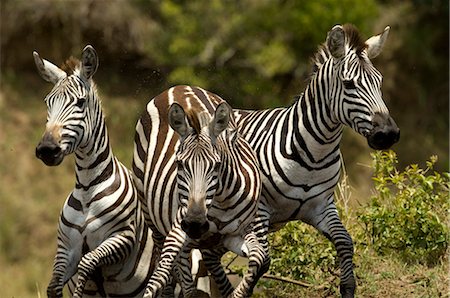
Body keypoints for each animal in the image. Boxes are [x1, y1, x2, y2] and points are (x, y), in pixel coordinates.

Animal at [33, 44, 155, 298]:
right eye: (48, 102)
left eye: (80, 103)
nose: (47, 150)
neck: (88, 185)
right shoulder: (67, 247)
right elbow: (53, 285)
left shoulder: (123, 237)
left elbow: (86, 263)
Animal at [132, 85, 268, 296]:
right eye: (179, 164)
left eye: (217, 165)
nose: (194, 224)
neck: (221, 200)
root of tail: (180, 86)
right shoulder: (178, 229)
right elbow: (161, 275)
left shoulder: (237, 232)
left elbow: (259, 258)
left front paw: (237, 293)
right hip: (151, 214)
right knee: (172, 271)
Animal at [232, 24, 400, 296]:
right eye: (349, 84)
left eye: (379, 82)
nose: (388, 134)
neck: (315, 153)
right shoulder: (258, 211)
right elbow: (260, 260)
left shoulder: (322, 206)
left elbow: (345, 242)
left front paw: (347, 287)